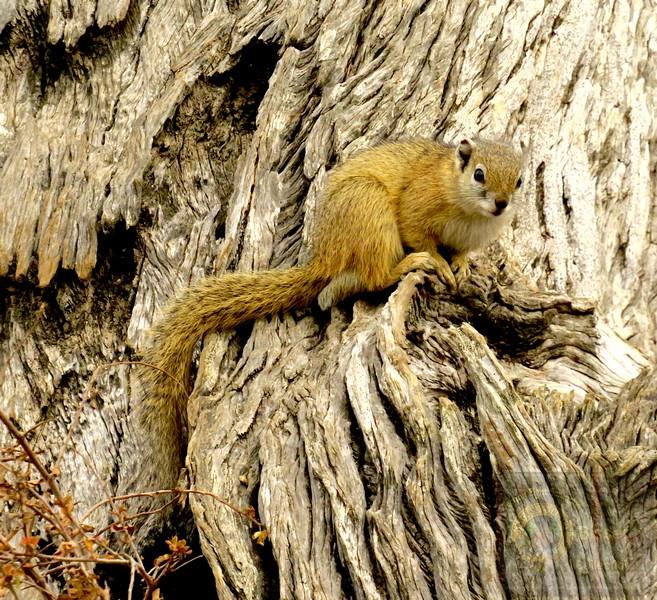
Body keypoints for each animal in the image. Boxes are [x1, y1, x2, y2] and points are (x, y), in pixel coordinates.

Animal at [138, 138, 523, 489]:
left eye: (519, 180)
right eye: (478, 174)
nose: (502, 204)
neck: (470, 212)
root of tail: (326, 255)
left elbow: (461, 252)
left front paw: (463, 265)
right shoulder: (417, 205)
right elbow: (421, 234)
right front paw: (440, 262)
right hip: (368, 207)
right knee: (375, 275)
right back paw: (409, 265)